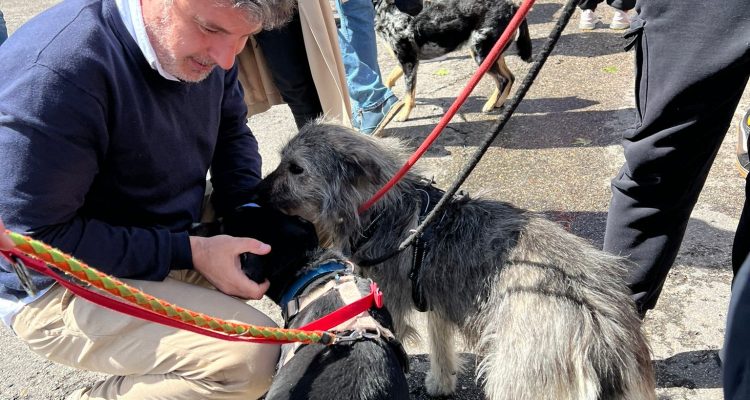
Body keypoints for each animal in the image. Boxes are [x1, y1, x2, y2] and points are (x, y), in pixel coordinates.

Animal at [258, 122, 656, 400]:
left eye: (296, 169)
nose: (256, 191)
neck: (383, 210)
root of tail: (603, 334)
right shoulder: (433, 296)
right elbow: (440, 343)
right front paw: (441, 381)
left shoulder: (388, 306)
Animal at [376, 0, 536, 120]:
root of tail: (512, 6)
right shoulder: (408, 61)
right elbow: (389, 80)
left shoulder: (408, 61)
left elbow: (409, 94)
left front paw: (404, 115)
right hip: (494, 54)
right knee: (510, 77)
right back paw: (499, 102)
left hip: (481, 55)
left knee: (502, 80)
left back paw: (490, 105)